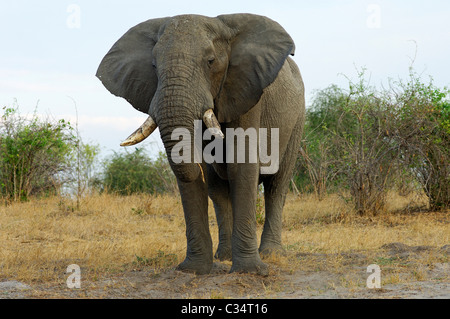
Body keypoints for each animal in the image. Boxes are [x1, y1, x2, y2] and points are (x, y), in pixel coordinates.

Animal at [95, 13, 306, 276]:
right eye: (153, 65)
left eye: (211, 61)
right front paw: (193, 270)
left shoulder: (247, 91)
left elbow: (242, 164)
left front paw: (250, 271)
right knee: (219, 189)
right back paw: (224, 256)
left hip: (297, 118)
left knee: (277, 186)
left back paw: (270, 254)